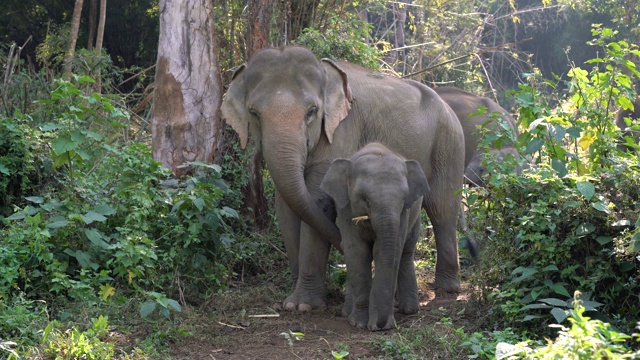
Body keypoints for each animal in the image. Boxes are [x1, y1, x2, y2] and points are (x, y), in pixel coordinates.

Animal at [221, 45, 464, 310]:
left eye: (311, 112)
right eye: (254, 113)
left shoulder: (343, 131)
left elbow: (318, 201)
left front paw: (304, 306)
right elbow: (286, 209)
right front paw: (292, 301)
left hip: (449, 144)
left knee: (442, 209)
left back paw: (446, 288)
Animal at [320, 142, 430, 330]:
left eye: (404, 198)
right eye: (365, 199)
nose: (380, 324)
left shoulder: (404, 213)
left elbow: (386, 251)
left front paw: (380, 325)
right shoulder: (345, 208)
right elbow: (357, 252)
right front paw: (359, 323)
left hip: (416, 217)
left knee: (406, 252)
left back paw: (409, 310)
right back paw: (347, 313)